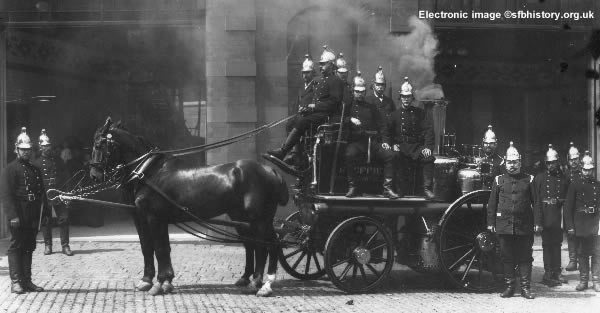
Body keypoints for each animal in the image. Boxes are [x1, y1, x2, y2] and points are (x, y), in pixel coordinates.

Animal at [88, 117, 290, 294]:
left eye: (98, 145)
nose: (94, 176)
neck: (149, 173)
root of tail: (270, 170)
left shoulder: (154, 217)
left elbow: (159, 249)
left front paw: (159, 283)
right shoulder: (145, 218)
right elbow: (150, 247)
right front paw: (154, 281)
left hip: (259, 219)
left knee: (266, 246)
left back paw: (260, 284)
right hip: (243, 218)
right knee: (257, 244)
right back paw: (253, 280)